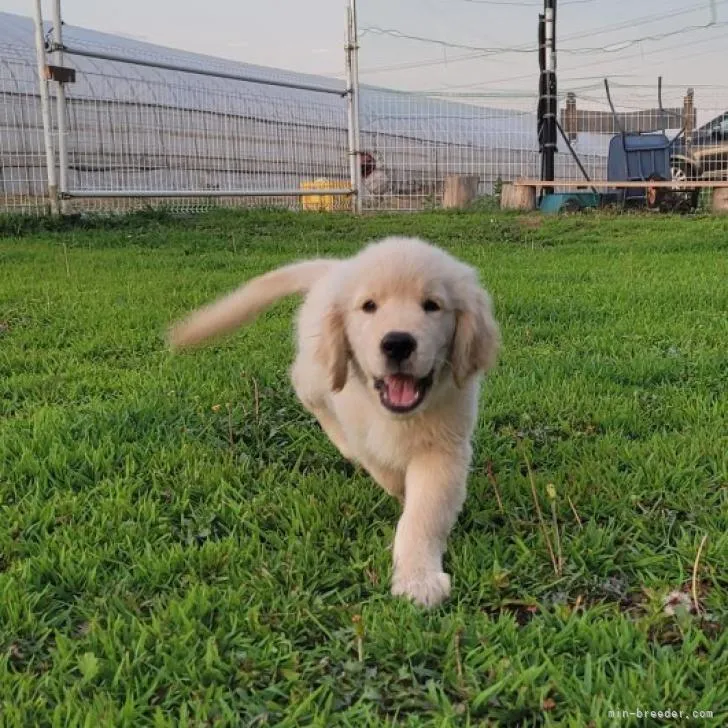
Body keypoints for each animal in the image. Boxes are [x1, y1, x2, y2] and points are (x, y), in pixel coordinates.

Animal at [169, 236, 500, 604]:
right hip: (322, 371)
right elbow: (385, 470)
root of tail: (335, 267)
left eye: (432, 305)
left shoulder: (445, 447)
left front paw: (418, 578)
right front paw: (400, 495)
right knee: (304, 384)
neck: (396, 417)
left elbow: (424, 514)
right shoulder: (363, 429)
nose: (397, 343)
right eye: (369, 306)